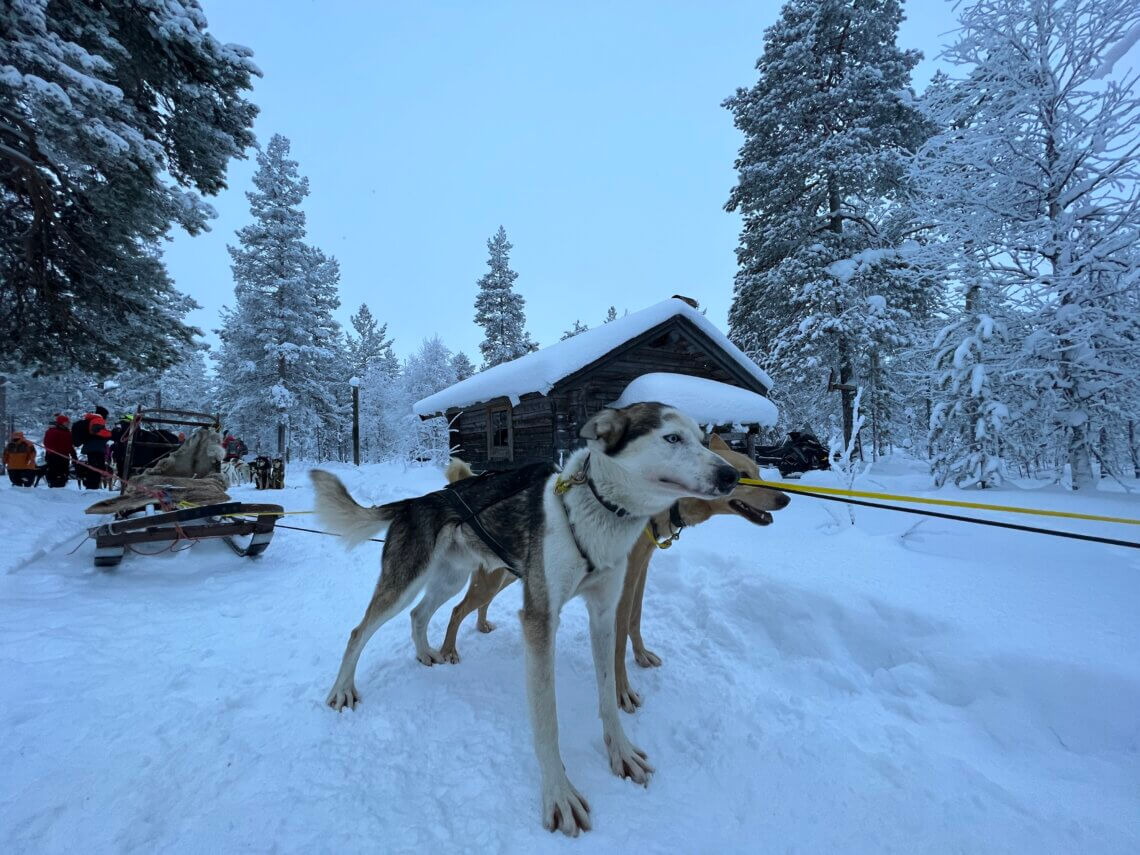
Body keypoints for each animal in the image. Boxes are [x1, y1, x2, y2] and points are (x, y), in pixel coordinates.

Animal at [312, 405, 738, 839]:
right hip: (405, 583)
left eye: (703, 440)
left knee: (420, 614)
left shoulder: (603, 614)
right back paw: (342, 690)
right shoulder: (540, 618)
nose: (731, 475)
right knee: (359, 631)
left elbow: (607, 695)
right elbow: (547, 721)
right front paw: (560, 795)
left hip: (450, 580)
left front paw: (620, 753)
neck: (594, 511)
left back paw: (426, 654)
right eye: (672, 438)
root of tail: (415, 502)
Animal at [430, 435, 788, 711]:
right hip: (493, 581)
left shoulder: (640, 570)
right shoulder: (621, 582)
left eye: (758, 470)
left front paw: (641, 655)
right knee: (456, 609)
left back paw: (481, 625)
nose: (784, 498)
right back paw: (448, 650)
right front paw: (622, 691)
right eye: (741, 475)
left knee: (476, 606)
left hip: (505, 577)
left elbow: (635, 620)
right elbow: (618, 639)